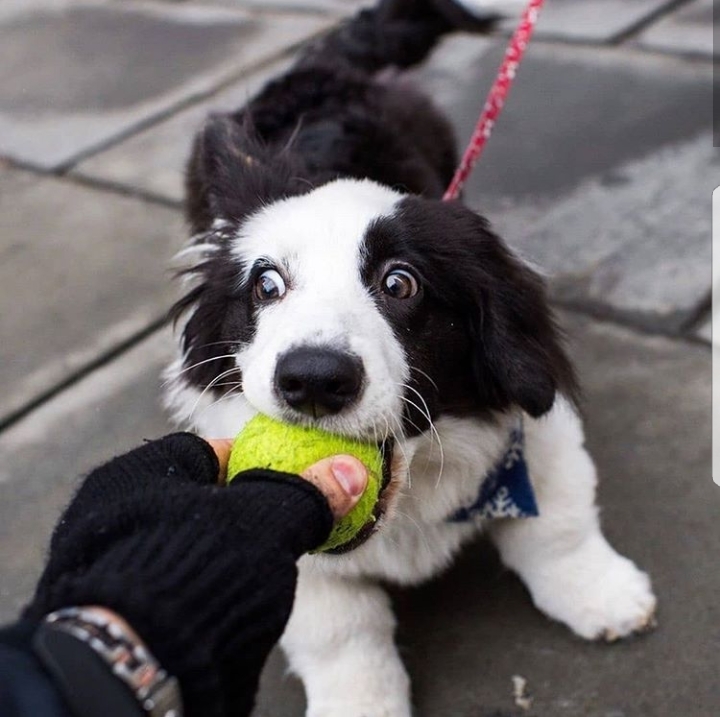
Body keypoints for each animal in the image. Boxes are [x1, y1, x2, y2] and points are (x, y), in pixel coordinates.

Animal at [165, 2, 660, 712]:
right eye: (267, 284)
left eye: (400, 283)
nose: (312, 379)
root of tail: (322, 67)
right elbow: (341, 632)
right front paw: (360, 703)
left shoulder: (536, 425)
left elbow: (557, 521)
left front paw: (604, 595)